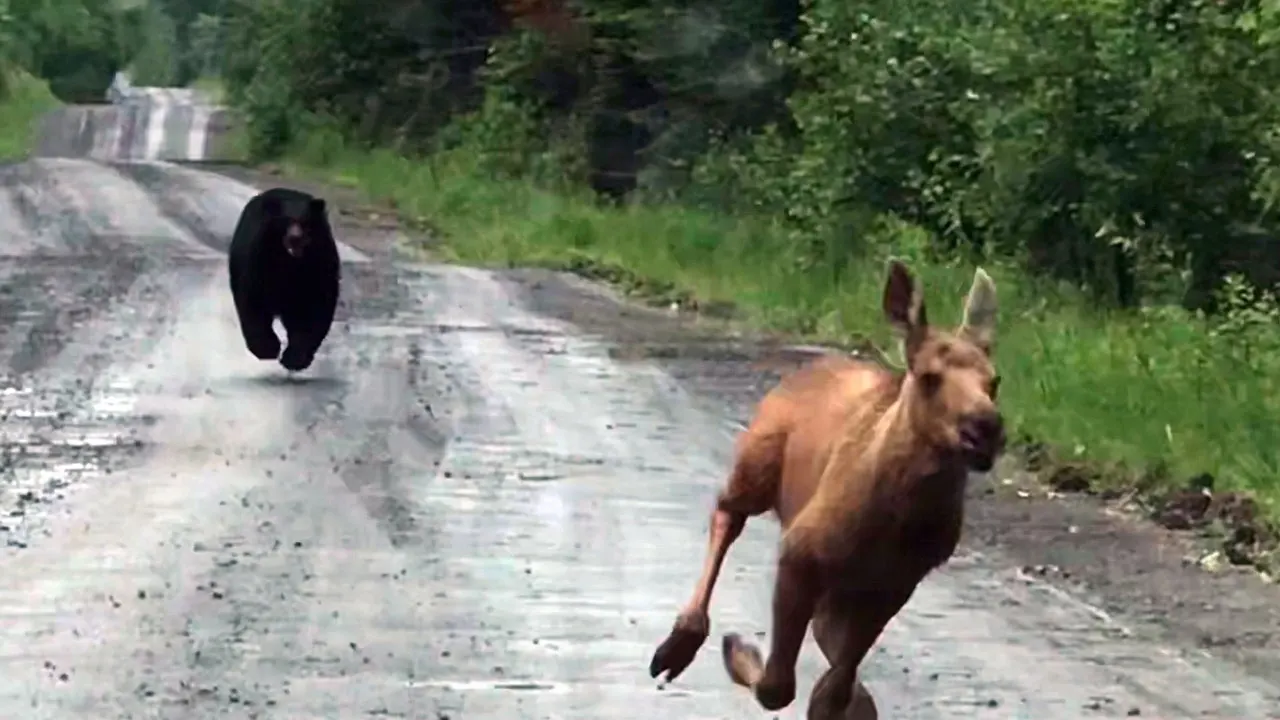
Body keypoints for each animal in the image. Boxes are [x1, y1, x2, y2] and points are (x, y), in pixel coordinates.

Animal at [228, 187, 341, 373]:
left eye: (304, 221)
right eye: (285, 221)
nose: (295, 237)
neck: (290, 263)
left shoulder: (320, 265)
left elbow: (316, 309)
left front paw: (295, 358)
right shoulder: (259, 260)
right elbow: (253, 301)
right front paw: (266, 348)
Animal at [648, 259, 1004, 719]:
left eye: (995, 381)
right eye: (929, 376)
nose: (986, 428)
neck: (898, 520)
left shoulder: (895, 583)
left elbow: (836, 684)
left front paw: (845, 700)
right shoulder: (800, 551)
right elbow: (778, 686)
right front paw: (741, 651)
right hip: (757, 463)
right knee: (728, 512)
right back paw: (681, 643)